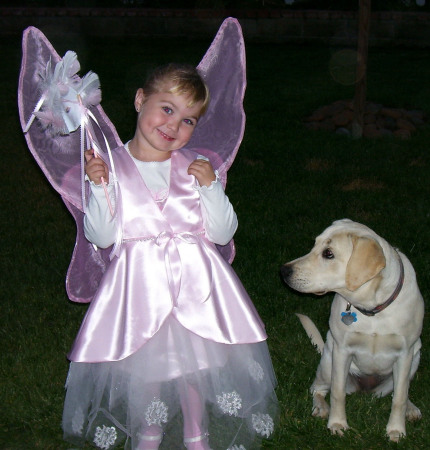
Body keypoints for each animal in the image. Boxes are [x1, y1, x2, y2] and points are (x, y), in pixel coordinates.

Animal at [280, 220, 424, 442]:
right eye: (314, 244)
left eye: (328, 253)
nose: (284, 271)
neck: (372, 307)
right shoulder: (341, 350)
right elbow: (337, 393)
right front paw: (337, 424)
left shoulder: (405, 353)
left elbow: (399, 398)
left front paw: (396, 430)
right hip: (327, 362)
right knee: (318, 390)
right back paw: (321, 408)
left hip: (416, 357)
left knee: (401, 391)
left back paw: (411, 408)